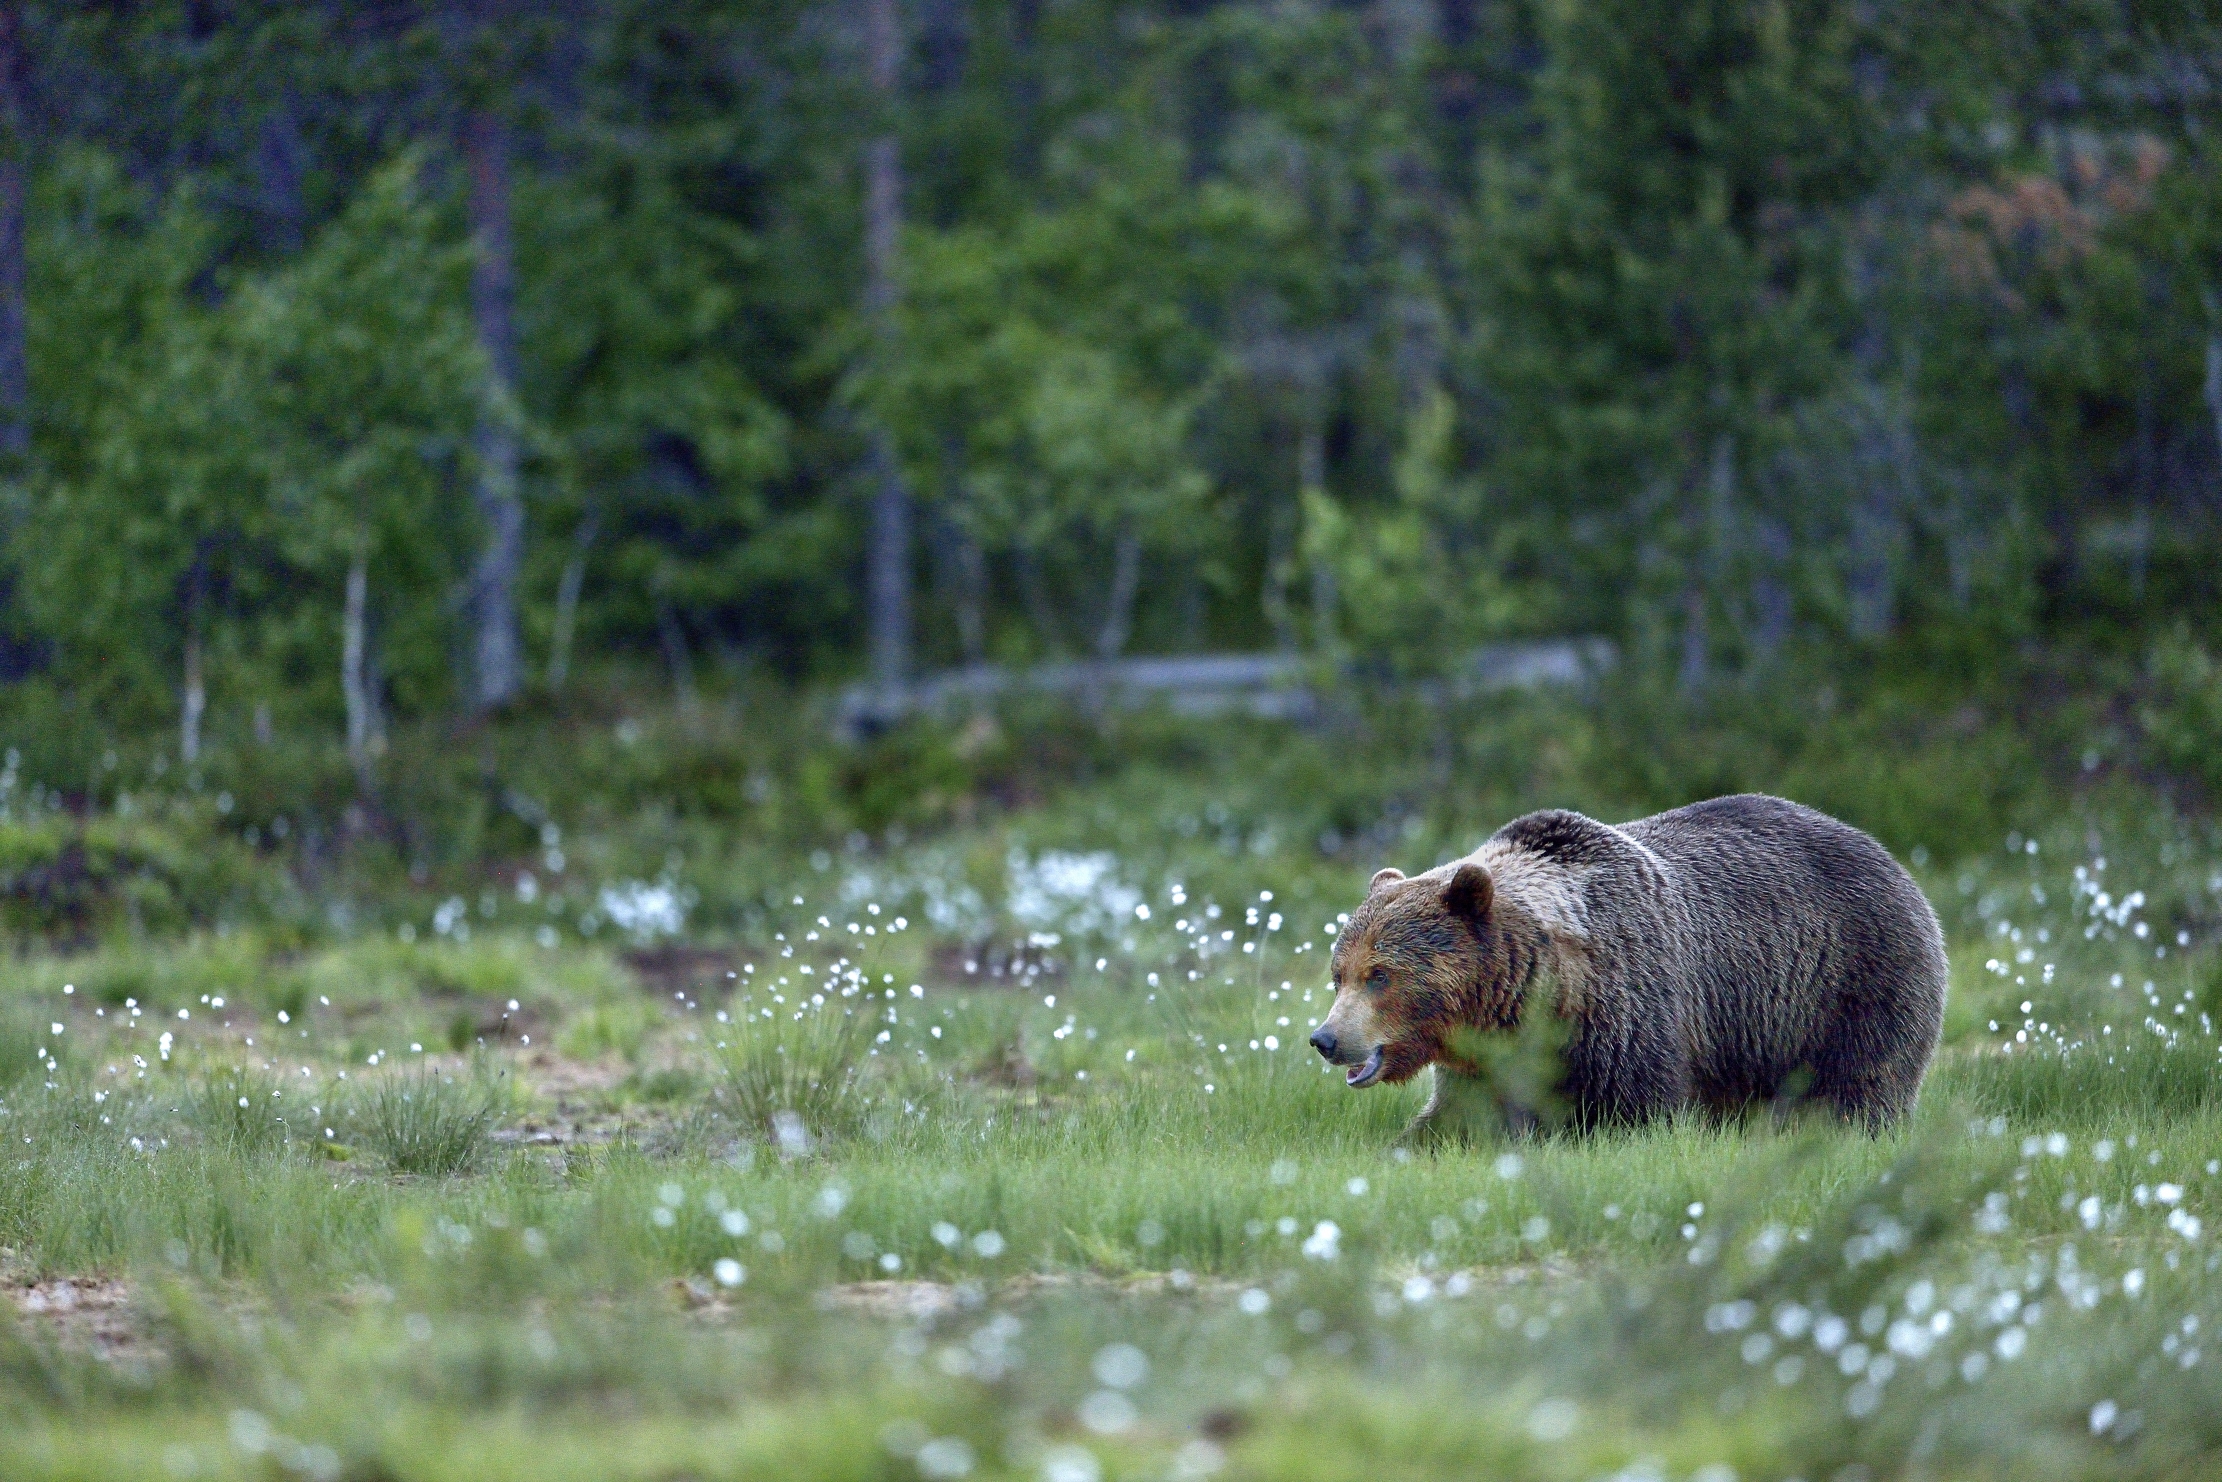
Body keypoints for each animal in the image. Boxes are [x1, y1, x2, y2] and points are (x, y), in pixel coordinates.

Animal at [1308, 794, 1947, 1136]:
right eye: (1339, 973)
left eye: (1381, 974)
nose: (1326, 1037)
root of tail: (1892, 858)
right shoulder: (1487, 1056)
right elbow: (1459, 1118)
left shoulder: (1630, 1006)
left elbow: (1635, 1108)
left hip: (1849, 981)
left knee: (1859, 1084)